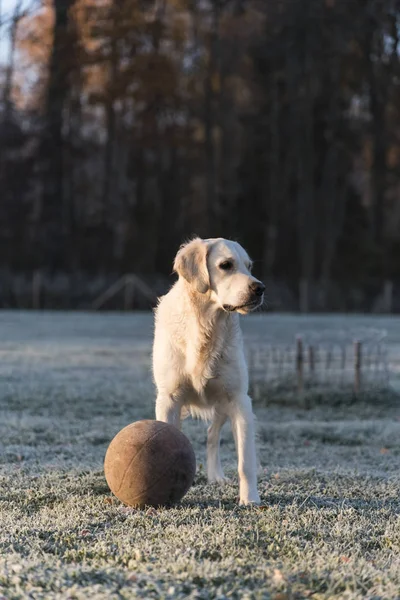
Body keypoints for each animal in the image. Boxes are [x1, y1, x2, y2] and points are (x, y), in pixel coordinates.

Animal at [152, 237, 264, 504]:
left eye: (249, 266)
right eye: (226, 265)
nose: (260, 288)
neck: (206, 325)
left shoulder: (239, 400)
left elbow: (246, 461)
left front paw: (250, 499)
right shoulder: (168, 399)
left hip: (223, 404)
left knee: (212, 434)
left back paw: (216, 476)